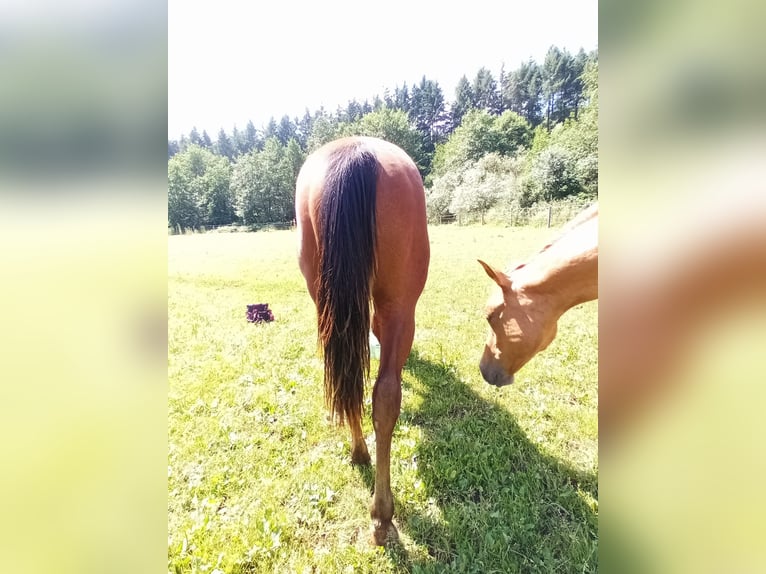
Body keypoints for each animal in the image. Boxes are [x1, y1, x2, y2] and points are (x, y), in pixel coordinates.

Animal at [296, 137, 432, 548]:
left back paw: (361, 459)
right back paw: (382, 513)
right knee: (383, 394)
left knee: (349, 380)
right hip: (400, 305)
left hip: (328, 301)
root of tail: (355, 152)